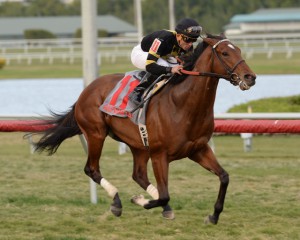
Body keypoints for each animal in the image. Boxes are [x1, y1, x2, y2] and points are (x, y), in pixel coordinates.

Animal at [33, 33, 258, 223]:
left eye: (239, 50)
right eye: (225, 53)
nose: (250, 77)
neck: (183, 104)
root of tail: (86, 90)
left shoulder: (198, 149)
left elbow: (224, 177)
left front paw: (214, 215)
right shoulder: (160, 155)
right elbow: (165, 194)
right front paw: (139, 200)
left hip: (138, 145)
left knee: (139, 175)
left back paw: (162, 207)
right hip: (96, 133)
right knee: (92, 169)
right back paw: (117, 202)